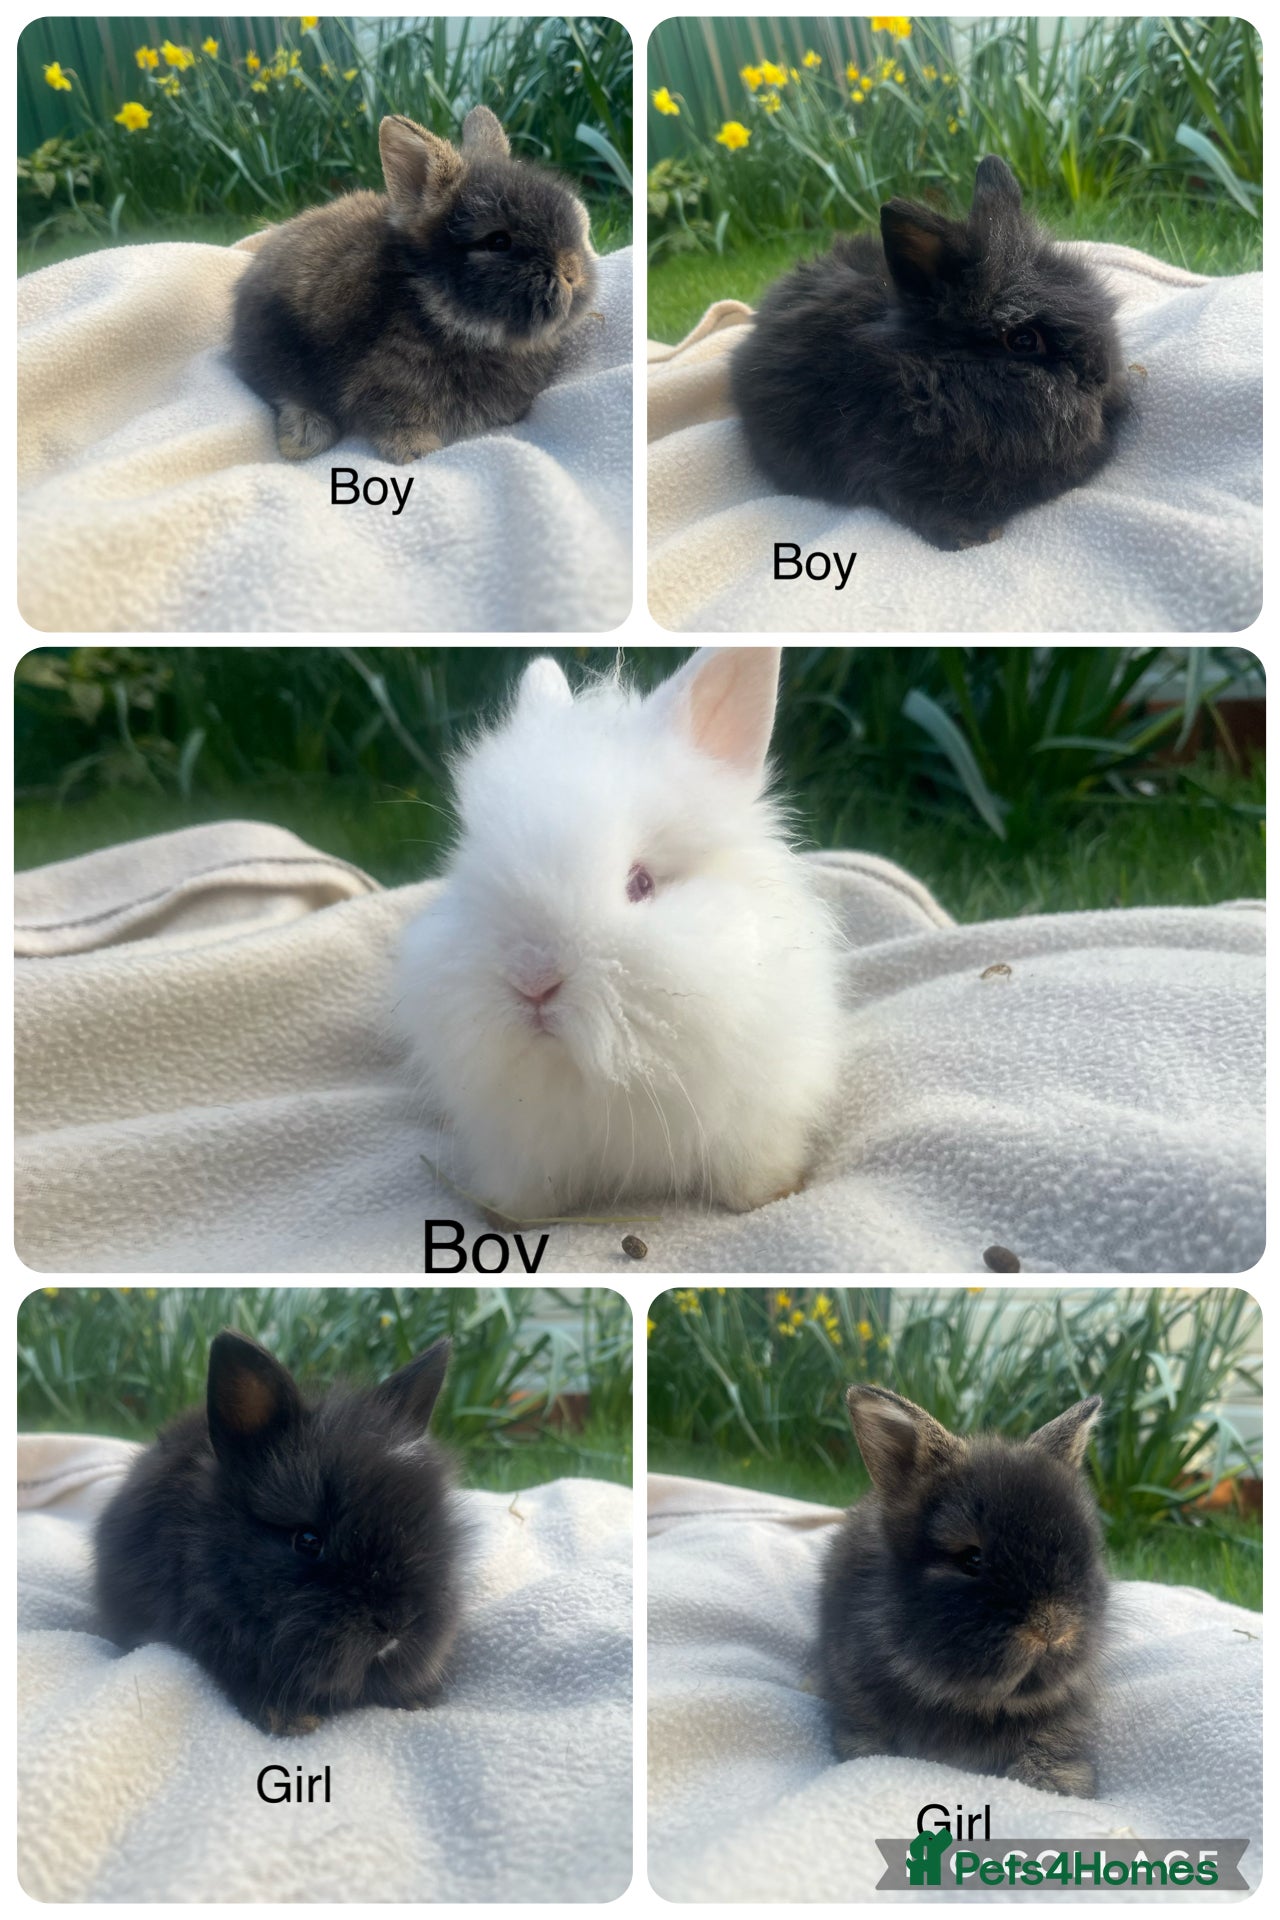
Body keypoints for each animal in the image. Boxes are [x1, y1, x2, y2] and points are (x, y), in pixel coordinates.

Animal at [230, 106, 597, 464]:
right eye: (497, 241)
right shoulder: (385, 385)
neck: (433, 306)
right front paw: (415, 450)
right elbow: (396, 419)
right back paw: (304, 437)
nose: (573, 273)